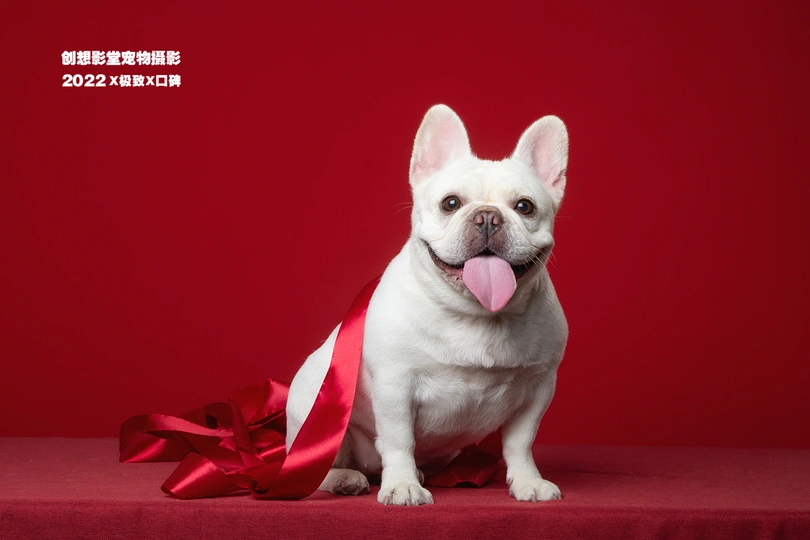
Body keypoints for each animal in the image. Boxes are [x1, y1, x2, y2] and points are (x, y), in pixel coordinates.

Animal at [285, 104, 569, 505]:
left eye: (525, 207)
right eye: (451, 203)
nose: (488, 216)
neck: (476, 315)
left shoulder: (538, 387)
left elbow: (520, 442)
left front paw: (528, 481)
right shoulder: (395, 385)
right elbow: (399, 439)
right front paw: (402, 485)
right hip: (317, 414)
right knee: (315, 466)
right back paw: (346, 478)